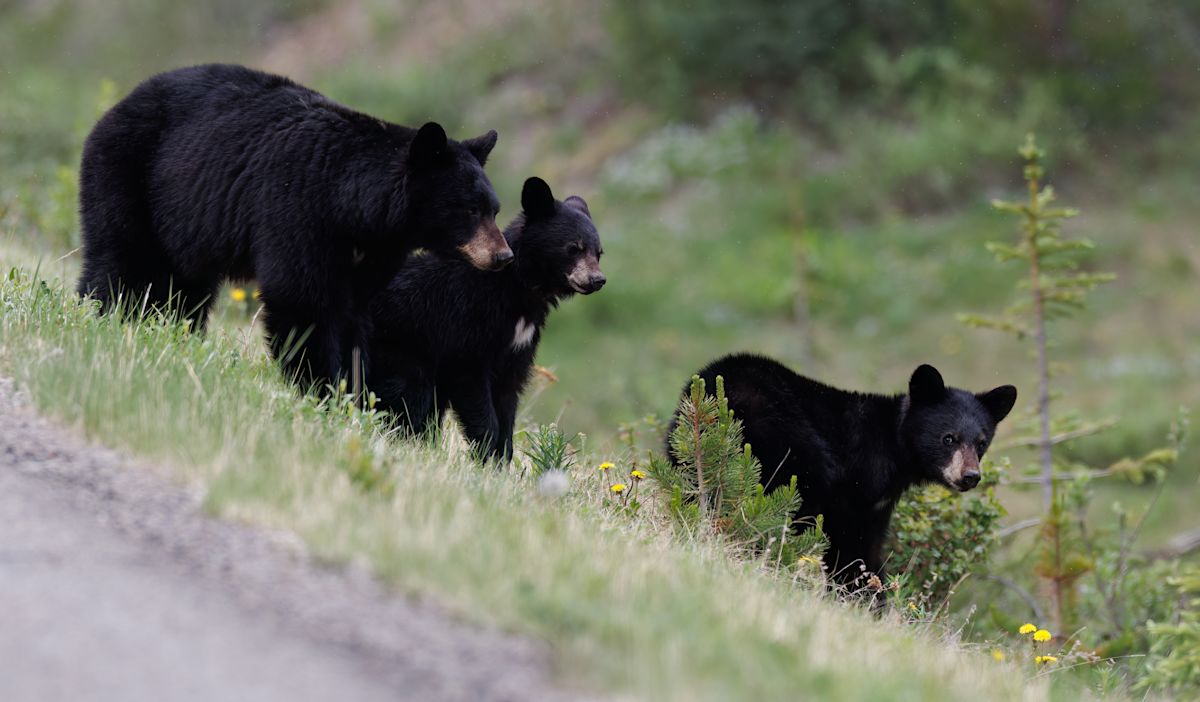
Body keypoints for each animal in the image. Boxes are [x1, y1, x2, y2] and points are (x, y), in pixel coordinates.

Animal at [76, 63, 511, 391]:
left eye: (495, 209)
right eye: (470, 210)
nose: (503, 255)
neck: (354, 206)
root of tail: (118, 104)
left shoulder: (370, 253)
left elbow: (353, 312)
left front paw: (355, 391)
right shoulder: (298, 210)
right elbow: (302, 299)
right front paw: (320, 387)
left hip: (184, 224)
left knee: (186, 286)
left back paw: (175, 335)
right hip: (130, 174)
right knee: (120, 257)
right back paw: (100, 315)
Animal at [369, 176, 605, 462]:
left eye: (599, 252)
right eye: (574, 248)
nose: (597, 280)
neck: (520, 290)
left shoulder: (519, 346)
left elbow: (508, 396)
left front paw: (501, 460)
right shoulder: (467, 324)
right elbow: (472, 383)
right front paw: (485, 454)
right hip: (401, 346)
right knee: (408, 397)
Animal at [669, 354, 1017, 584]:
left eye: (981, 442)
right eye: (948, 438)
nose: (970, 476)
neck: (894, 446)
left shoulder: (879, 504)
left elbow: (871, 543)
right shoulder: (854, 488)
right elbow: (850, 545)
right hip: (793, 451)